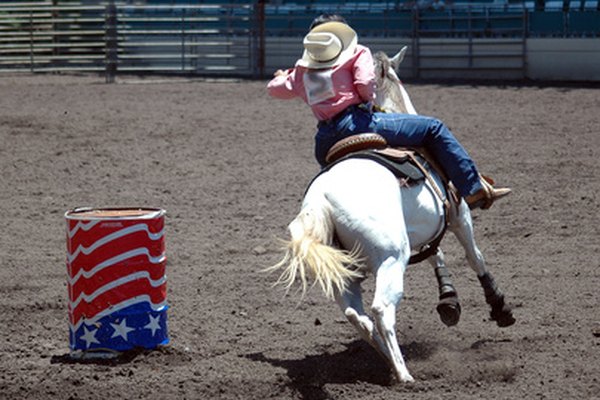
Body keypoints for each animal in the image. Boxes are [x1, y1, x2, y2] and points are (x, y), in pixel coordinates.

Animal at [270, 48, 512, 382]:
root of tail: (321, 198)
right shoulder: (459, 216)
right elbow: (475, 257)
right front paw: (500, 308)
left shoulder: (426, 226)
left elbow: (437, 255)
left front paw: (449, 301)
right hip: (392, 257)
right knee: (381, 309)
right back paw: (403, 374)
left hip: (349, 271)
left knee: (356, 315)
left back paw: (387, 359)